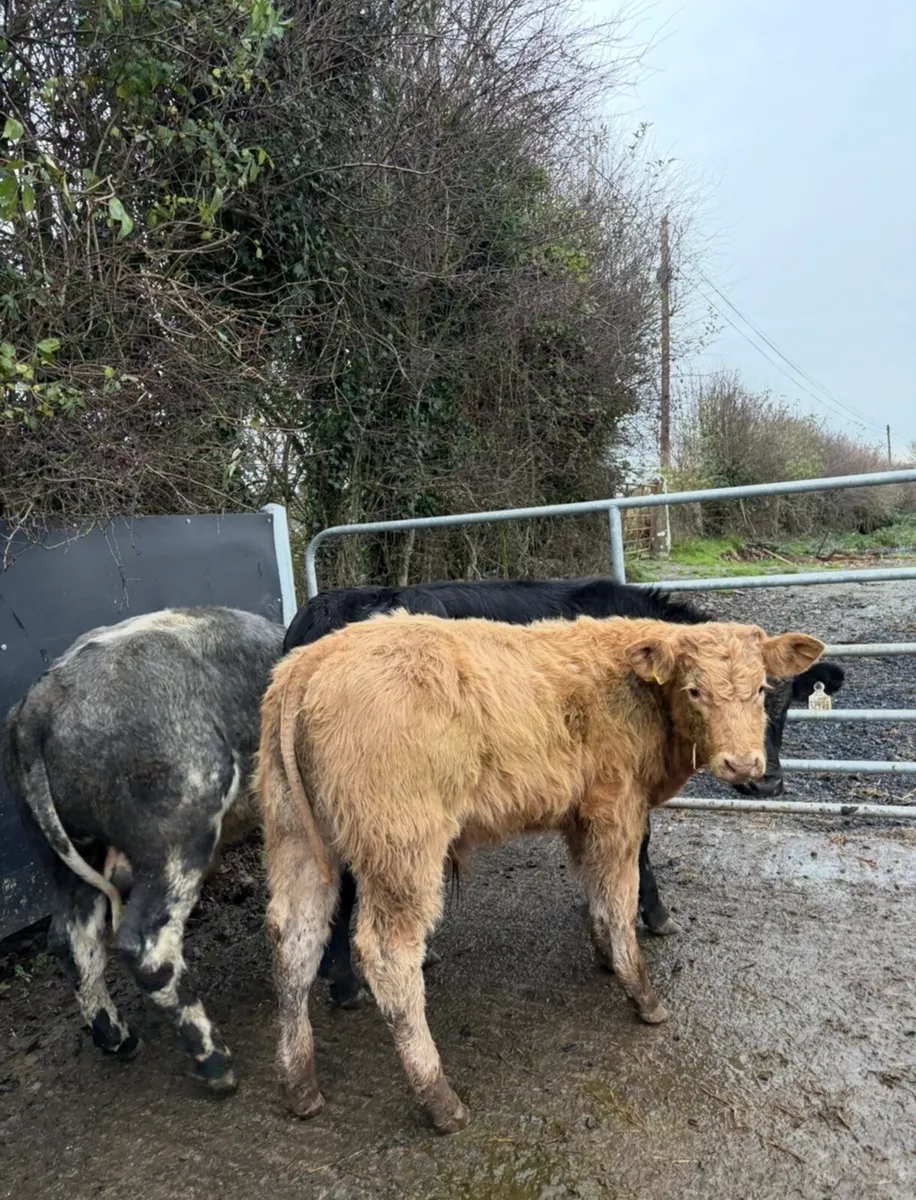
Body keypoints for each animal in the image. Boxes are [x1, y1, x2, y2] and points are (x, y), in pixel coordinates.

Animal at [1, 607, 286, 1093]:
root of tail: (42, 699)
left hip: (65, 854)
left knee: (70, 939)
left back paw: (119, 1040)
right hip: (177, 826)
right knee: (144, 945)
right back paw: (216, 1064)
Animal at [257, 611, 825, 1132]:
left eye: (760, 689)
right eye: (694, 689)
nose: (743, 764)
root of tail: (313, 659)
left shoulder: (581, 817)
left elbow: (595, 891)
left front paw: (604, 955)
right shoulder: (617, 810)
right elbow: (620, 900)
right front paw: (641, 993)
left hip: (294, 837)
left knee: (294, 939)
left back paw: (299, 1086)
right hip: (402, 848)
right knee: (387, 955)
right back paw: (439, 1099)